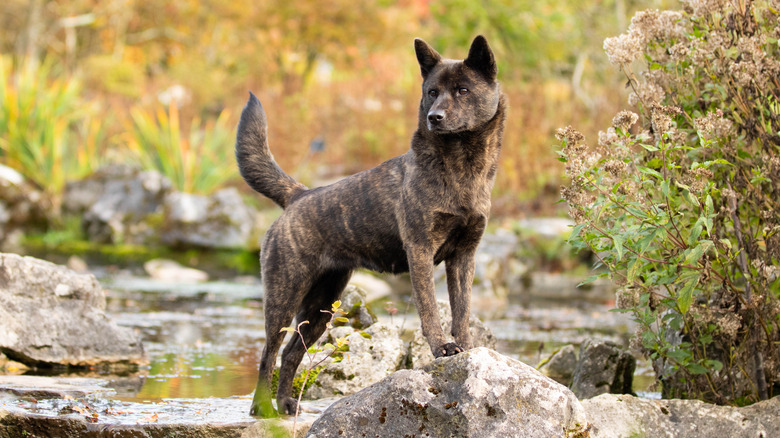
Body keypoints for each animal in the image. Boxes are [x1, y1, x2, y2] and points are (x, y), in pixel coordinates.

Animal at [235, 36, 508, 416]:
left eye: (463, 90)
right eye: (432, 92)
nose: (434, 118)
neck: (460, 169)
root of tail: (299, 195)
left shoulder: (464, 256)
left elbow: (462, 310)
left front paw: (465, 347)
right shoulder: (420, 251)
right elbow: (430, 309)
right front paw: (441, 348)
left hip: (321, 306)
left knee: (291, 353)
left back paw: (286, 403)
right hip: (284, 296)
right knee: (268, 353)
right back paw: (261, 407)